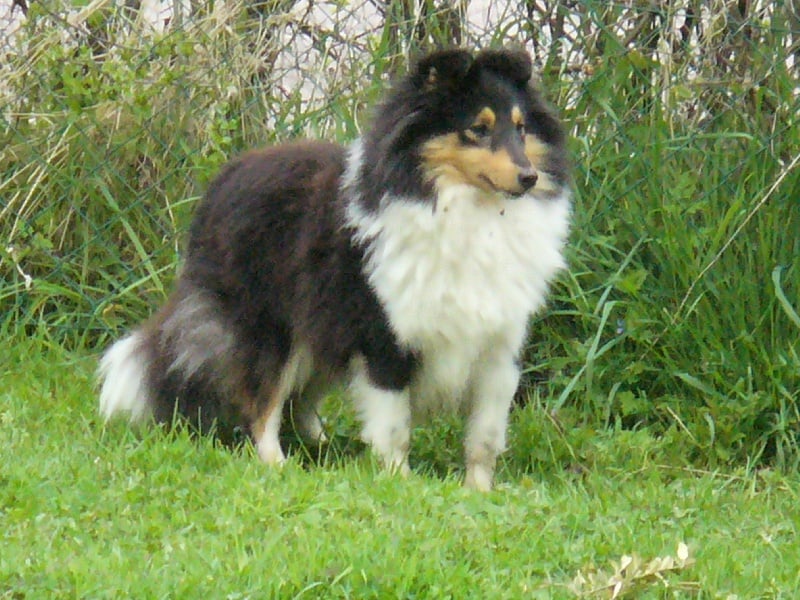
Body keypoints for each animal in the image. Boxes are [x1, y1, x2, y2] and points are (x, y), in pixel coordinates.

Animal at [98, 48, 570, 491]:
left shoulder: (498, 347)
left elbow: (484, 437)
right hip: (274, 329)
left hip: (319, 329)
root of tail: (224, 178)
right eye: (478, 128)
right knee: (263, 402)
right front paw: (399, 482)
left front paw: (479, 491)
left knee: (299, 400)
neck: (467, 209)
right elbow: (394, 427)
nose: (529, 177)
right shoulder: (385, 338)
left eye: (521, 127)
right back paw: (279, 462)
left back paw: (324, 448)